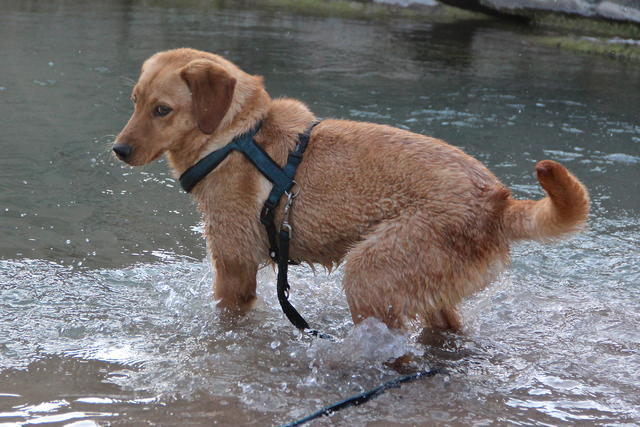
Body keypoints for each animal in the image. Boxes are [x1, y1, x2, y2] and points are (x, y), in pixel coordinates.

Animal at [114, 48, 592, 332]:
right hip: (432, 295)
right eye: (135, 101)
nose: (118, 150)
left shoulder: (234, 269)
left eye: (162, 109)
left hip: (370, 275)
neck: (237, 135)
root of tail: (498, 201)